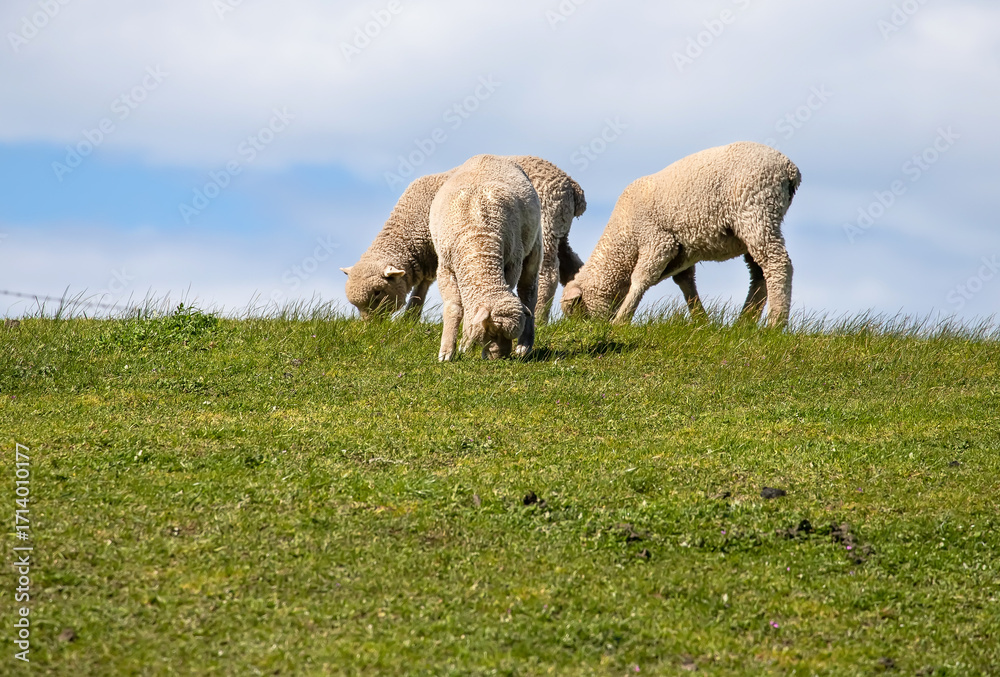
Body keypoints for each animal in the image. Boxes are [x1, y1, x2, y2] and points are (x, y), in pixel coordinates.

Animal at [341, 156, 585, 322]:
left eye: (377, 293)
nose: (371, 326)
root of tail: (571, 185)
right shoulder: (431, 256)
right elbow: (422, 288)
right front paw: (410, 318)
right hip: (560, 230)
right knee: (573, 267)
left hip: (547, 225)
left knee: (548, 273)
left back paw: (540, 316)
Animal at [428, 154, 542, 361]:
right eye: (491, 331)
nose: (501, 357)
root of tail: (490, 156)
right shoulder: (445, 268)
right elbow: (454, 307)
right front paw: (448, 351)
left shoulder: (513, 261)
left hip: (535, 246)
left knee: (528, 293)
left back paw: (524, 346)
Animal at [561, 142, 800, 327]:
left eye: (579, 311)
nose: (588, 329)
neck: (624, 239)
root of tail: (788, 168)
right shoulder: (682, 253)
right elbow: (686, 283)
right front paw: (701, 320)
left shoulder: (657, 241)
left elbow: (640, 279)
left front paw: (621, 320)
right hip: (755, 222)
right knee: (759, 272)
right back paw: (744, 322)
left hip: (756, 210)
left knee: (777, 263)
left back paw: (775, 324)